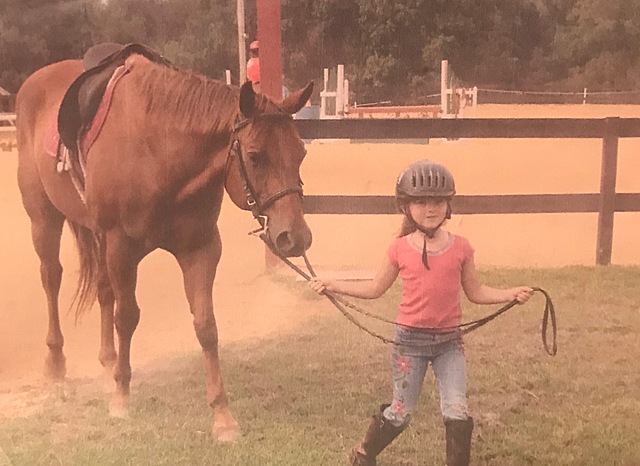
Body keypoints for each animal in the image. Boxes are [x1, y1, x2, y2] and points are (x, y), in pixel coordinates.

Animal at [15, 49, 313, 441]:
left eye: (301, 153)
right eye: (254, 155)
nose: (296, 237)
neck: (160, 153)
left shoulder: (201, 248)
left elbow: (206, 325)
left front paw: (222, 415)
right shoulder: (122, 246)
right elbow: (127, 317)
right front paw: (121, 397)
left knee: (103, 290)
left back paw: (108, 359)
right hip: (44, 219)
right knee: (51, 278)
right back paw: (56, 362)